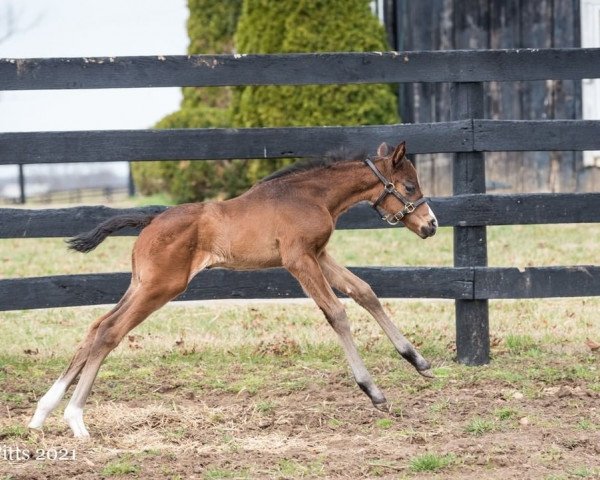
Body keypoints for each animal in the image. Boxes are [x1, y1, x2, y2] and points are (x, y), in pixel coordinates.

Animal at [28, 141, 438, 436]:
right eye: (409, 186)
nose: (431, 225)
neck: (310, 196)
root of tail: (152, 219)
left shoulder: (318, 254)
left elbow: (364, 291)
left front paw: (419, 363)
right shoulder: (298, 259)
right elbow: (336, 313)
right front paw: (374, 392)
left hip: (141, 284)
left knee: (96, 326)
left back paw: (42, 413)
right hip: (160, 287)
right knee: (110, 331)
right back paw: (75, 419)